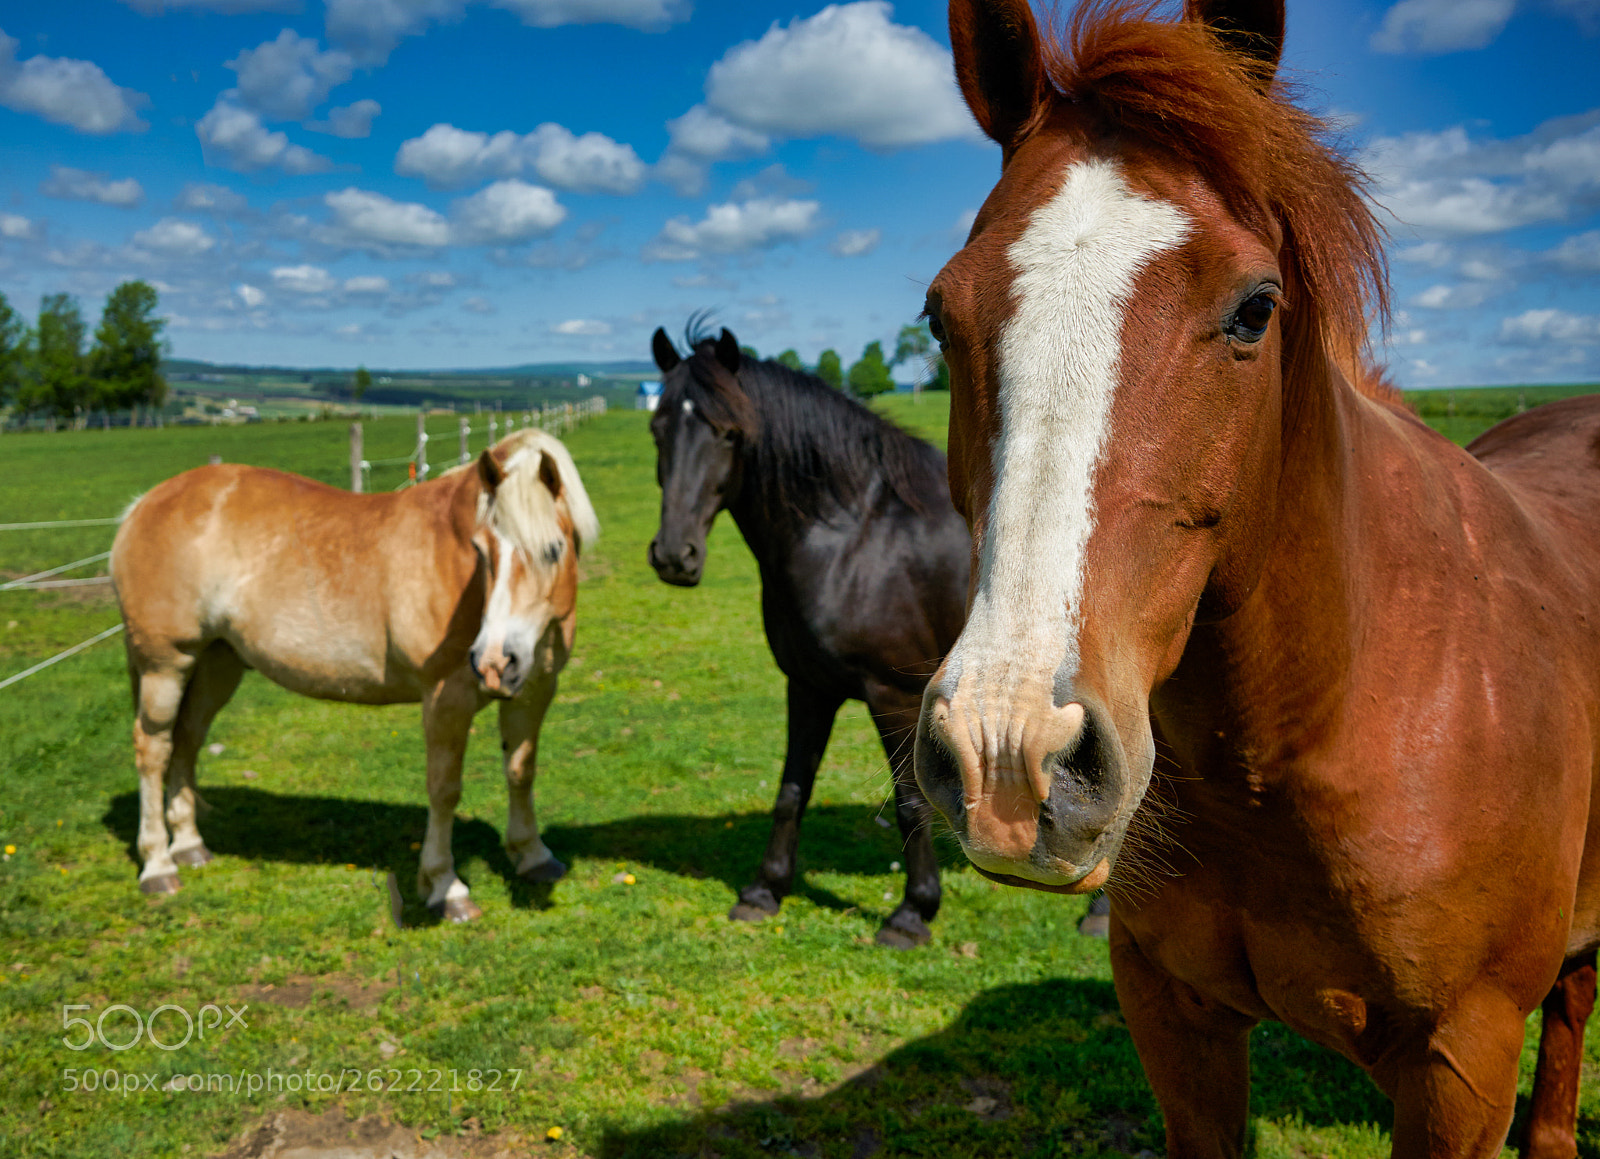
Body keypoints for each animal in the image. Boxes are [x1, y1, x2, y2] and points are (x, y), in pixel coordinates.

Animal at [110, 428, 600, 922]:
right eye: (480, 550)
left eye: (554, 550)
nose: (494, 661)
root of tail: (143, 504)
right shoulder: (446, 698)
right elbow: (444, 789)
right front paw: (446, 887)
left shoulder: (534, 691)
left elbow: (521, 771)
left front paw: (533, 857)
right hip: (166, 666)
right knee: (153, 749)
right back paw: (158, 865)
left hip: (216, 664)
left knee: (186, 741)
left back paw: (190, 845)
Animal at [648, 326, 970, 948]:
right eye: (657, 427)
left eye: (729, 433)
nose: (675, 556)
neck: (853, 537)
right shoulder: (808, 687)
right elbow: (790, 792)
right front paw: (764, 890)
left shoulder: (894, 696)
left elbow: (909, 803)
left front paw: (912, 912)